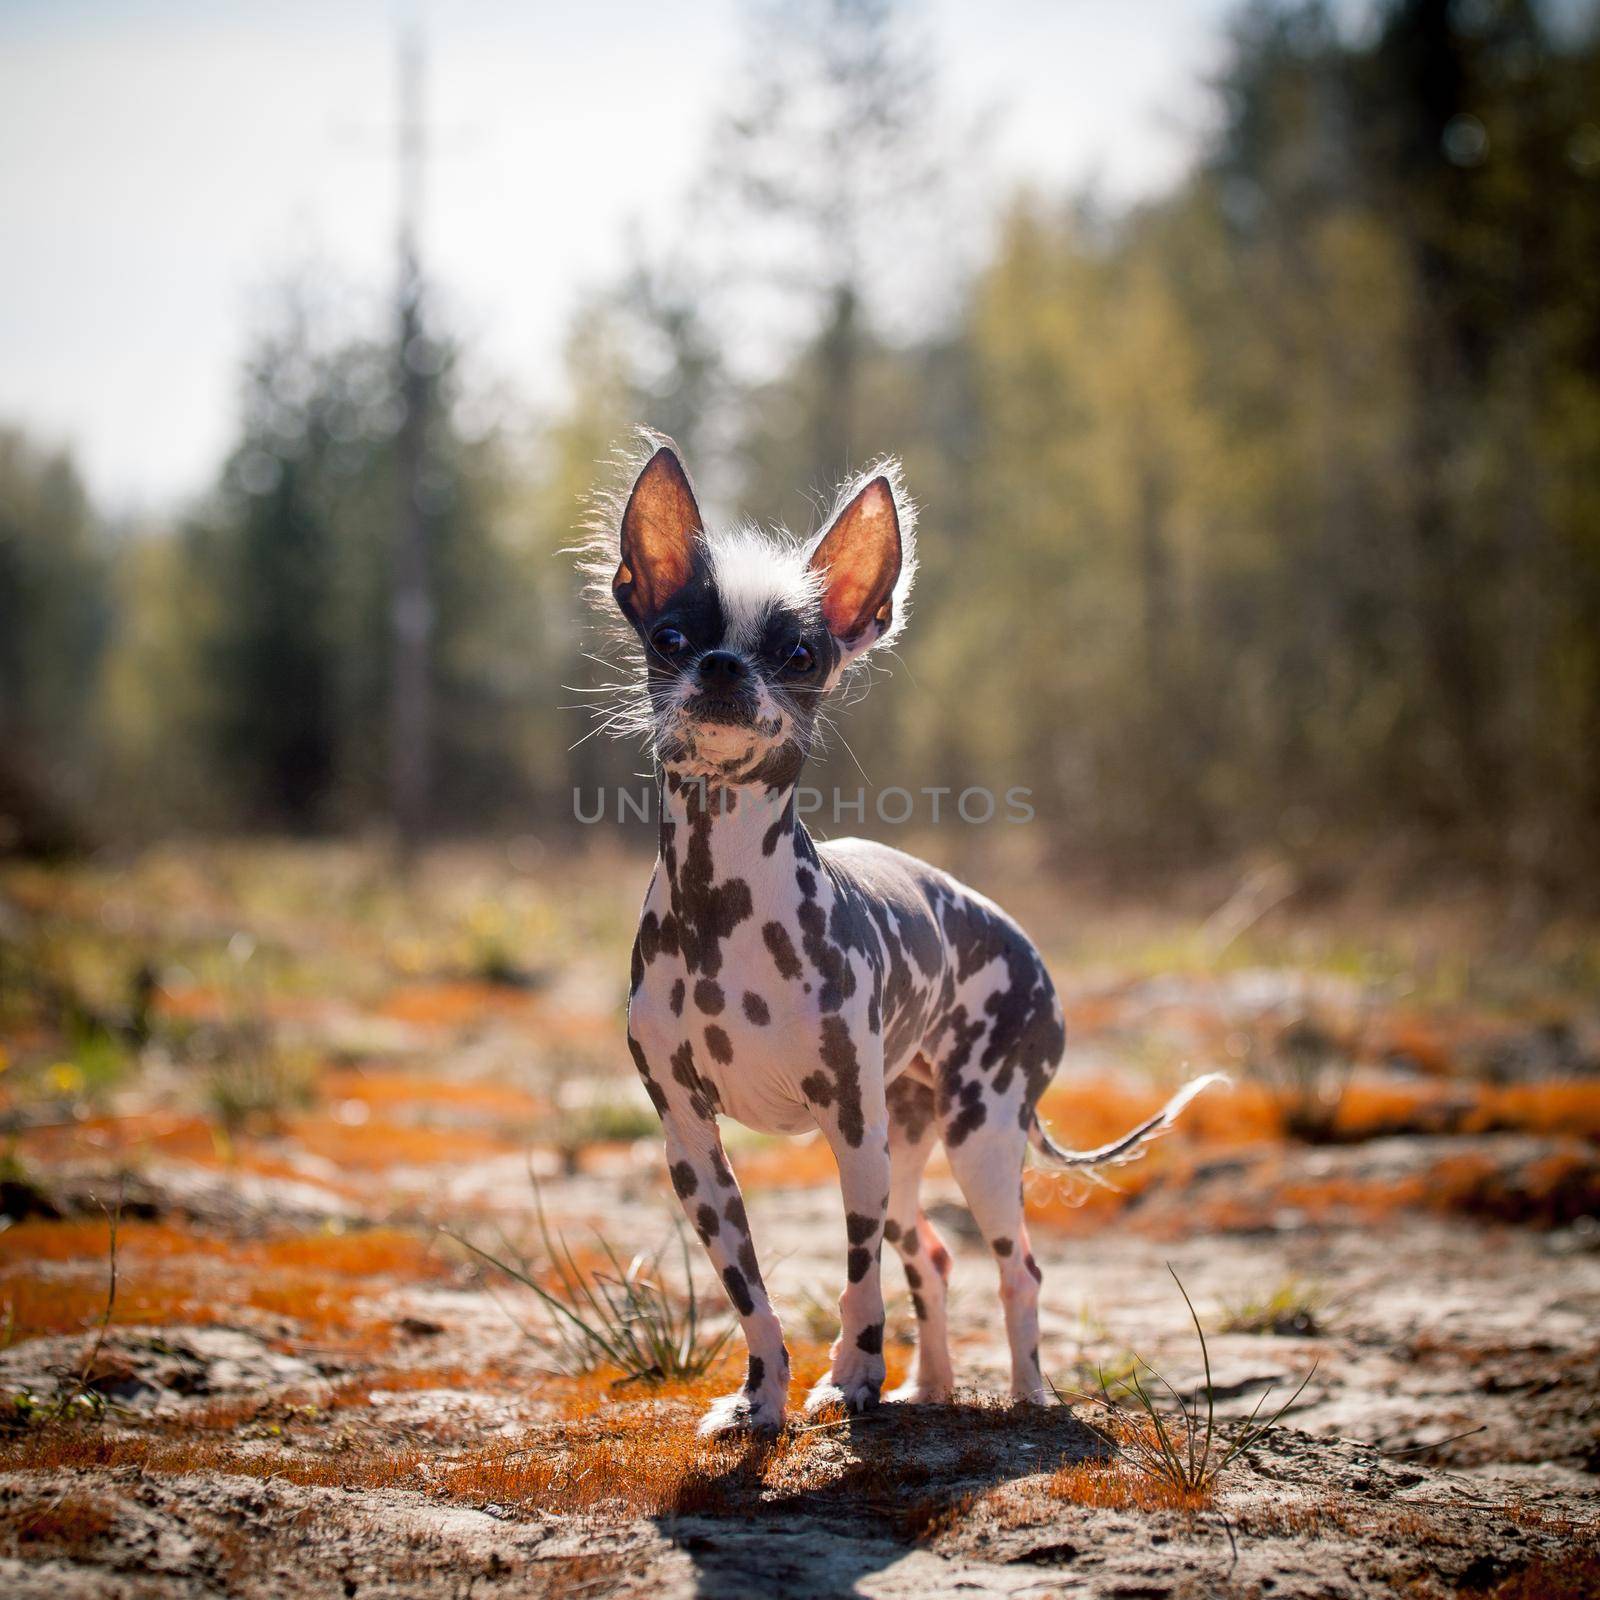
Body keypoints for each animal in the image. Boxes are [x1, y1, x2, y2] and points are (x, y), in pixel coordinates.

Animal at [582, 438, 1216, 1440]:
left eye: (801, 653)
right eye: (672, 638)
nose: (721, 667)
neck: (726, 907)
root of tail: (1032, 954)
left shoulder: (851, 1131)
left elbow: (856, 1283)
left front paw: (851, 1379)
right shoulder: (691, 1143)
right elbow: (750, 1293)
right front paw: (761, 1397)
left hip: (978, 1138)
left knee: (1016, 1267)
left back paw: (1028, 1397)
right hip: (910, 1140)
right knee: (934, 1257)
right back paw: (934, 1386)